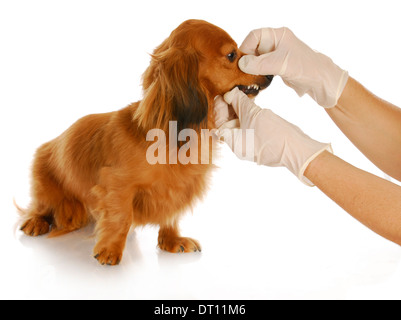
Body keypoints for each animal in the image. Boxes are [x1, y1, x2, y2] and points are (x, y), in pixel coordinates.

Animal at [18, 20, 272, 264]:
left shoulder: (176, 189)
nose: (270, 73)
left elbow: (171, 216)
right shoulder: (117, 185)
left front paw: (172, 241)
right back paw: (35, 222)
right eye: (231, 55)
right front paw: (110, 250)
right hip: (46, 186)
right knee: (40, 207)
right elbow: (121, 216)